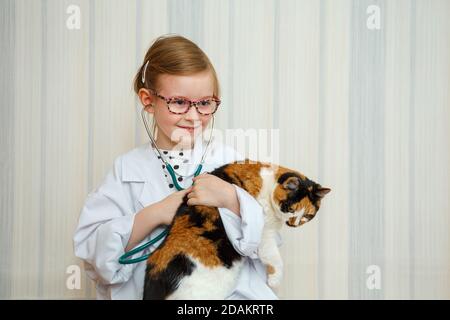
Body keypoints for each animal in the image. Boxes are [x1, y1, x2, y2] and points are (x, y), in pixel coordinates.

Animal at [144, 160, 330, 300]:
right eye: (291, 209)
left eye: (307, 215)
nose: (294, 223)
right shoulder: (263, 231)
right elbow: (274, 256)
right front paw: (275, 280)